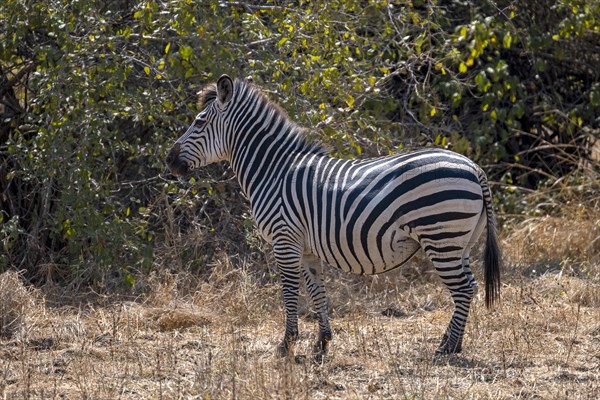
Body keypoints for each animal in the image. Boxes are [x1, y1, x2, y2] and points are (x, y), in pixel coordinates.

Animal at [165, 76, 502, 360]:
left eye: (199, 122)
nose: (169, 161)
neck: (273, 171)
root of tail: (474, 167)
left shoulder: (284, 241)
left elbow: (289, 294)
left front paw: (286, 345)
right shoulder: (307, 248)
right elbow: (318, 294)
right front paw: (322, 343)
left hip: (441, 236)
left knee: (462, 289)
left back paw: (445, 349)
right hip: (460, 242)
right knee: (470, 286)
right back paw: (453, 344)